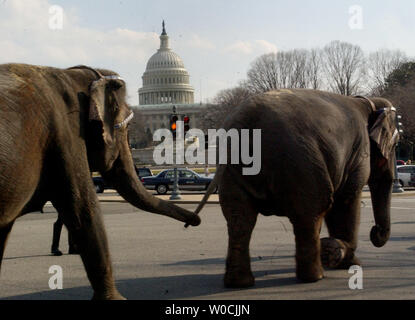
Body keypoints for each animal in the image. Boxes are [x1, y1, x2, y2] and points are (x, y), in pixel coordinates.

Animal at [193, 89, 400, 288]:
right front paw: (348, 260)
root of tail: (243, 121)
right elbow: (345, 200)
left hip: (233, 171)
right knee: (312, 211)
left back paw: (239, 283)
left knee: (240, 218)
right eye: (395, 144)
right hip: (300, 162)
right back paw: (315, 277)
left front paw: (338, 253)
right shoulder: (358, 152)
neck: (367, 101)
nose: (374, 232)